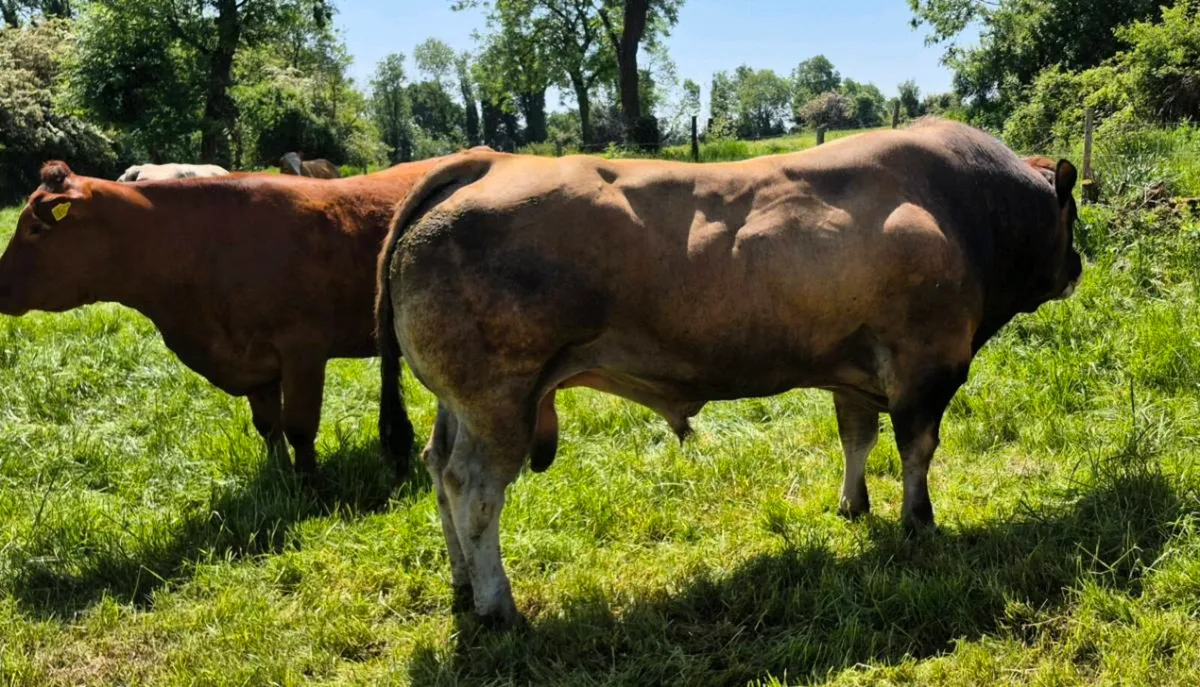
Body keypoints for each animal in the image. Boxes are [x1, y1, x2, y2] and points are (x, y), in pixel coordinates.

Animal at [0, 157, 454, 480]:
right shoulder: (253, 361)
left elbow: (300, 426)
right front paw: (278, 478)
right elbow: (268, 426)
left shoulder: (303, 350)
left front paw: (309, 486)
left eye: (35, 231)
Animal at [375, 118, 1083, 626]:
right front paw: (920, 523)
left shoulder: (852, 368)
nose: (1077, 267)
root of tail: (487, 163)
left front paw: (853, 507)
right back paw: (499, 606)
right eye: (1071, 214)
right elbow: (918, 449)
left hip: (459, 403)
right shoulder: (925, 364)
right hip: (499, 400)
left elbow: (857, 440)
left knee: (438, 469)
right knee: (473, 489)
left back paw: (463, 585)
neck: (960, 205)